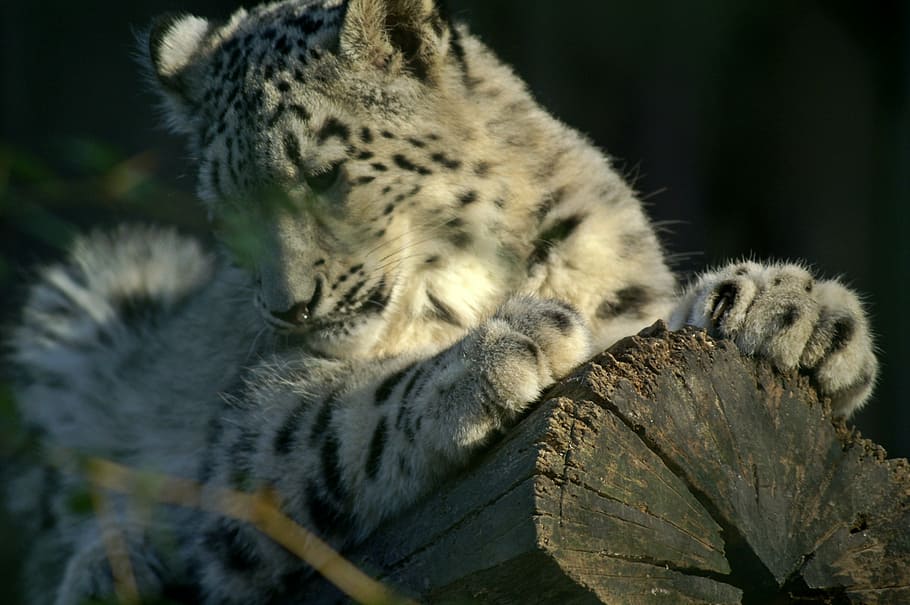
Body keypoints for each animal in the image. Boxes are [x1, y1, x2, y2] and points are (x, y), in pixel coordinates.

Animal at [7, 0, 878, 603]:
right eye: (227, 213)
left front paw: (795, 311)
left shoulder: (625, 314)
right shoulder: (248, 423)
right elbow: (343, 417)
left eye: (325, 173)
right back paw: (116, 564)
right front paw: (499, 352)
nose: (289, 307)